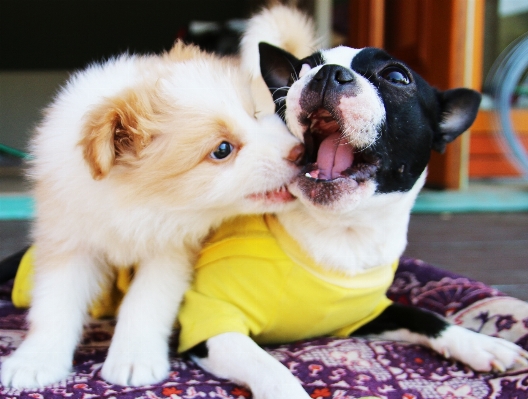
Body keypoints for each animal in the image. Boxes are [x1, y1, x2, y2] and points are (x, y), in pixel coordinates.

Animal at [186, 6, 528, 399]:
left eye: (396, 76)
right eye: (304, 68)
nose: (327, 74)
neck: (343, 229)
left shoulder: (367, 315)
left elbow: (424, 315)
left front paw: (479, 342)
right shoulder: (209, 321)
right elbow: (269, 366)